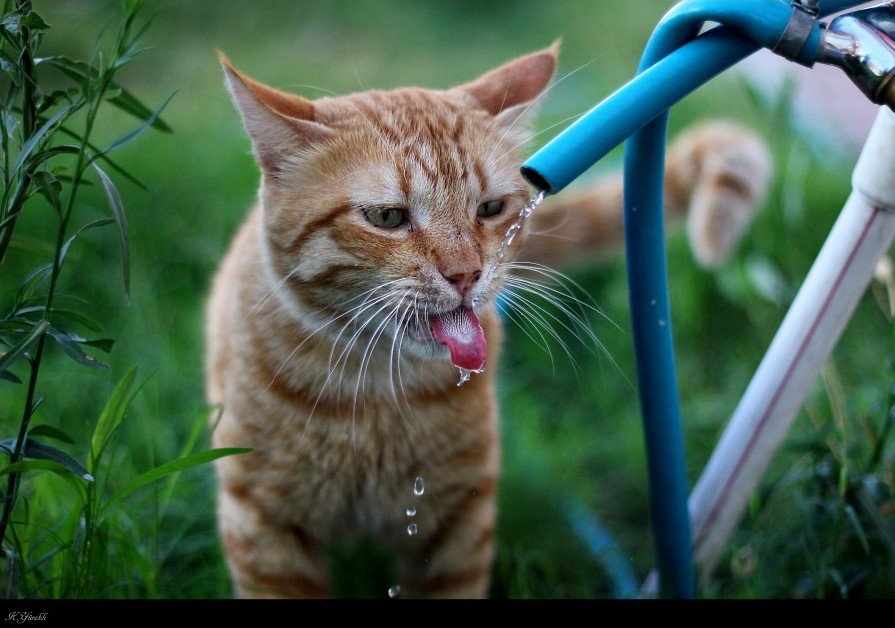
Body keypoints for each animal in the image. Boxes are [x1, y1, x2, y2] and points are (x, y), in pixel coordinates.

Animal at [205, 45, 768, 600]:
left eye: (491, 208)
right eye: (387, 218)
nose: (465, 274)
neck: (378, 397)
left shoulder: (456, 521)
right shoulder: (263, 524)